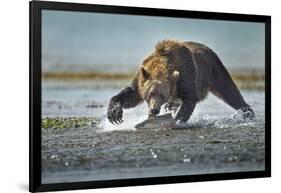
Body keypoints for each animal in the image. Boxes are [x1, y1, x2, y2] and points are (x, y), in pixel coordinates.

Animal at [105, 39, 254, 123]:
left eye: (162, 95)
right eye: (149, 94)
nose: (154, 110)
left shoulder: (186, 76)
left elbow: (190, 99)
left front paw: (176, 120)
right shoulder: (142, 77)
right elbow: (131, 95)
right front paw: (114, 114)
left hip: (214, 69)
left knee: (229, 92)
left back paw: (248, 113)